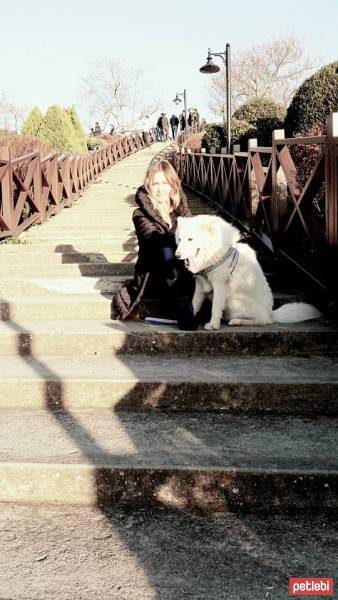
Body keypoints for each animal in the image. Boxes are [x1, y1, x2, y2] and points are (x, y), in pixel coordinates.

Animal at [176, 213, 320, 330]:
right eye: (179, 239)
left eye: (190, 239)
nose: (177, 255)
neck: (212, 252)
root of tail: (271, 312)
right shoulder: (200, 286)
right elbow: (194, 304)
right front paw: (189, 320)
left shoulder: (220, 284)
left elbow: (215, 307)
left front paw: (213, 325)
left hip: (234, 300)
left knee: (262, 321)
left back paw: (237, 321)